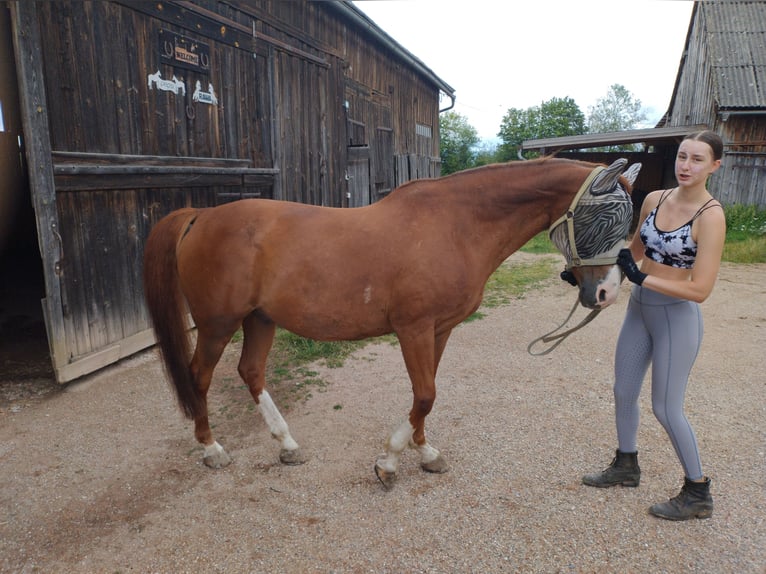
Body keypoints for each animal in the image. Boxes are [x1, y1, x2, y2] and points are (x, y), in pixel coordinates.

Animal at [142, 156, 640, 490]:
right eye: (609, 216)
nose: (606, 293)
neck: (457, 225)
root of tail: (201, 215)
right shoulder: (413, 328)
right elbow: (425, 394)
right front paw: (390, 461)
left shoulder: (440, 329)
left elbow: (427, 394)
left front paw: (426, 452)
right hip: (217, 323)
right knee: (199, 377)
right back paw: (212, 450)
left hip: (260, 319)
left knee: (251, 372)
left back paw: (287, 445)